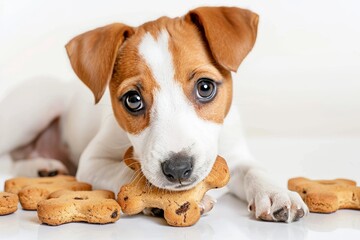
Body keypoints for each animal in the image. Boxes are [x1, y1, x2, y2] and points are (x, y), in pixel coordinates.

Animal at [1, 6, 308, 223]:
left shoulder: (235, 156)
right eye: (133, 100)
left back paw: (43, 167)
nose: (178, 168)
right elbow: (127, 172)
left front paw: (277, 194)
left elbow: (254, 170)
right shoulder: (92, 162)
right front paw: (159, 201)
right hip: (33, 109)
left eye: (205, 87)